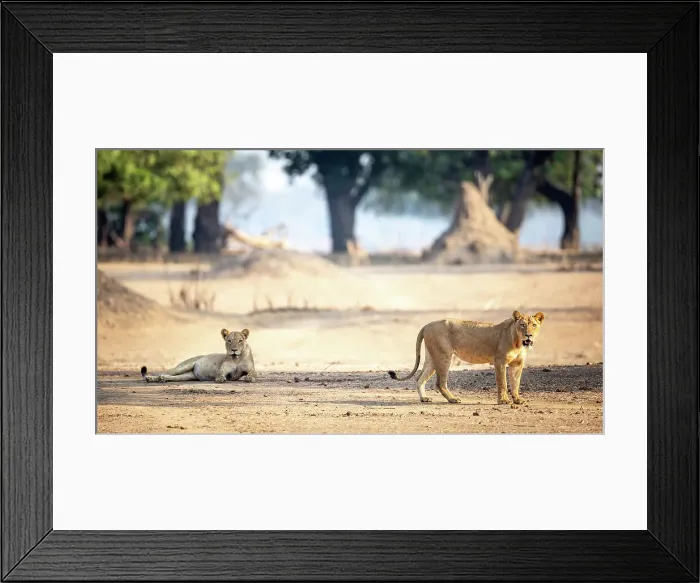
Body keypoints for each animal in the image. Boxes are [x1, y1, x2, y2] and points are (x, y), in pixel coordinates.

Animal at [388, 310, 544, 405]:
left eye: (534, 325)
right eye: (522, 325)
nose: (528, 335)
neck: (518, 343)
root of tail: (427, 325)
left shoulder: (517, 364)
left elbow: (515, 382)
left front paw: (518, 399)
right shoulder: (499, 361)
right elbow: (503, 383)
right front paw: (504, 401)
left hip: (432, 357)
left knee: (419, 377)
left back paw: (424, 398)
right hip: (443, 355)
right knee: (439, 382)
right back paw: (453, 399)